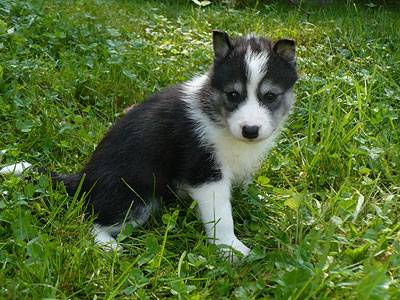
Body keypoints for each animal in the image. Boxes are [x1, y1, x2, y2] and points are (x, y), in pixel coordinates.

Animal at [1, 31, 298, 260]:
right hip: (137, 197)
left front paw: (256, 199)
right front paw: (232, 250)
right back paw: (108, 246)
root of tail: (84, 177)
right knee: (88, 219)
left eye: (270, 96)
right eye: (233, 94)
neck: (216, 114)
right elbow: (222, 215)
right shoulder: (203, 169)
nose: (250, 130)